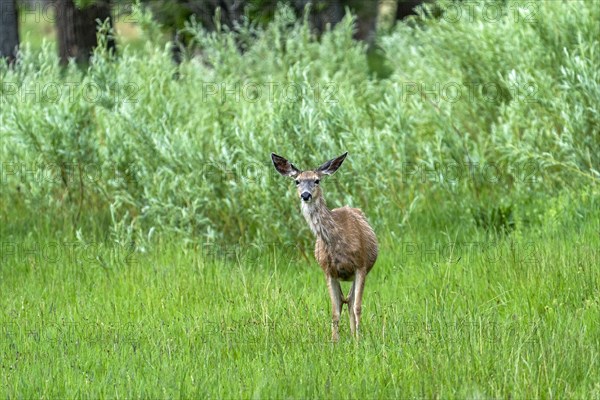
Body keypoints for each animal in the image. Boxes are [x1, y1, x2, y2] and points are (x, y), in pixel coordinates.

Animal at [274, 151, 380, 340]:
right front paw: (334, 341)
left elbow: (357, 307)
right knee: (346, 300)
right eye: (297, 181)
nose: (305, 195)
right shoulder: (328, 270)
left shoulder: (361, 265)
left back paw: (354, 335)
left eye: (317, 180)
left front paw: (359, 340)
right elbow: (335, 311)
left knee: (351, 301)